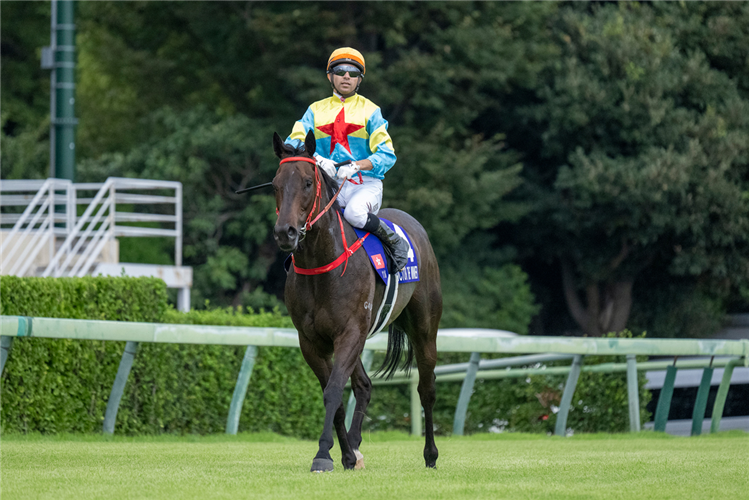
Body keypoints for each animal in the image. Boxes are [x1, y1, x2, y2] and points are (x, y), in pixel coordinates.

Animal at [270, 131, 442, 470]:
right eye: (275, 184)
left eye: (307, 182)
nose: (286, 232)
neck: (321, 267)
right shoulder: (312, 340)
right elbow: (333, 394)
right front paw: (346, 454)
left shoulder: (349, 331)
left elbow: (334, 391)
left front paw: (323, 454)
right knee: (364, 386)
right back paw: (355, 446)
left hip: (424, 328)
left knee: (426, 388)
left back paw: (430, 454)